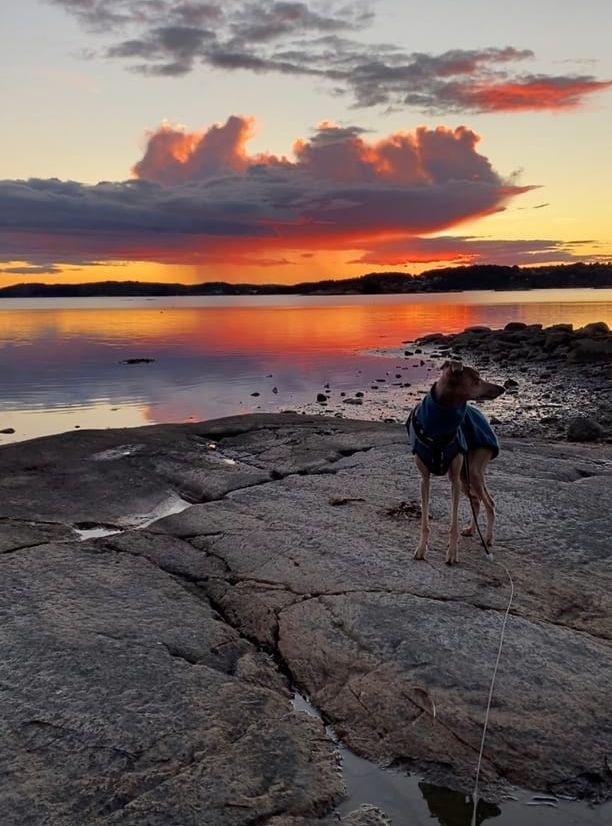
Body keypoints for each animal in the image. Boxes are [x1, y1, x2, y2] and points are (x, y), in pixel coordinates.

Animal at [406, 358, 506, 564]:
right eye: (476, 379)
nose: (502, 388)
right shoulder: (424, 479)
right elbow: (424, 520)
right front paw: (421, 549)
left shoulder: (454, 480)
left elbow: (453, 521)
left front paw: (452, 553)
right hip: (465, 475)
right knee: (476, 501)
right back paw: (471, 530)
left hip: (473, 471)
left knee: (489, 503)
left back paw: (488, 538)